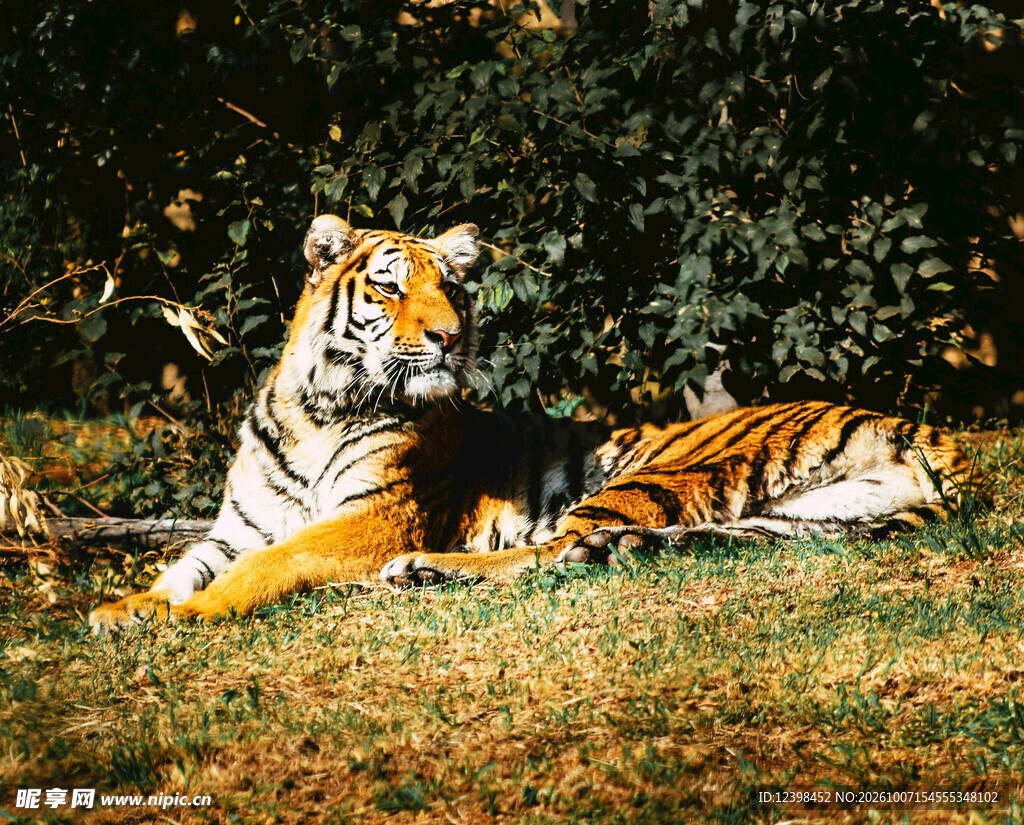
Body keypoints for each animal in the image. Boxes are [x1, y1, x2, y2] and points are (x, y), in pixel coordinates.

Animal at [89, 215, 973, 633]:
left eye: (453, 288)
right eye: (389, 287)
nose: (450, 336)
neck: (321, 406)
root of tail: (909, 422)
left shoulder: (372, 519)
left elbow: (270, 564)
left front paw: (192, 614)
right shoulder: (237, 523)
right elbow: (185, 564)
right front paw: (124, 608)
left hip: (654, 471)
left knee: (553, 549)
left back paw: (422, 570)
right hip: (791, 519)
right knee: (610, 547)